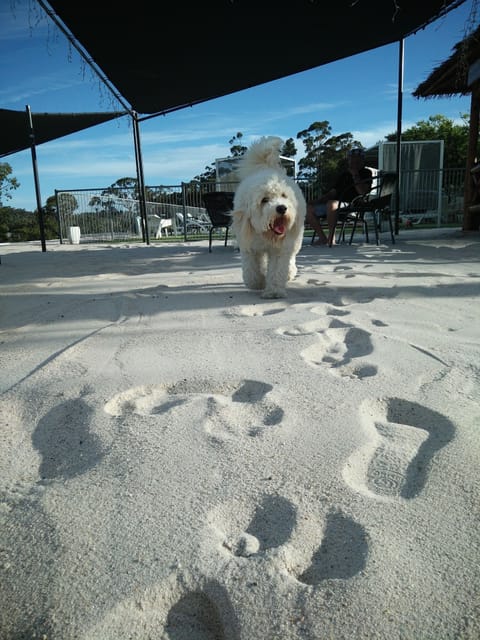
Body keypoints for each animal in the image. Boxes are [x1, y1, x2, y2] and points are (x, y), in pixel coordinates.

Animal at [231, 136, 306, 298]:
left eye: (283, 196)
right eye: (264, 200)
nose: (282, 208)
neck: (266, 234)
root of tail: (267, 167)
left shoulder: (279, 249)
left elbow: (277, 270)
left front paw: (274, 291)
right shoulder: (249, 246)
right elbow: (251, 271)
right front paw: (258, 283)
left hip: (295, 238)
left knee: (291, 257)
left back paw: (290, 273)